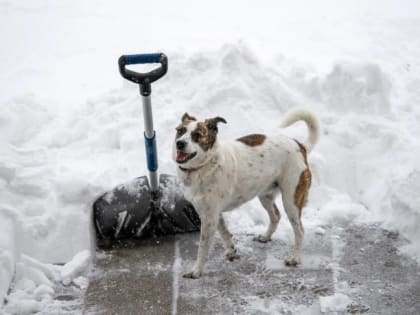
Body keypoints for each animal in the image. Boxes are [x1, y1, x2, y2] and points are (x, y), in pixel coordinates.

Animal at [172, 108, 320, 278]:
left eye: (196, 135)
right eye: (180, 131)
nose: (179, 143)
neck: (206, 164)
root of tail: (300, 145)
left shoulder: (209, 217)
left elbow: (203, 247)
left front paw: (196, 270)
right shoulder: (211, 213)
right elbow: (224, 232)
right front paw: (231, 251)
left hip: (291, 200)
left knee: (300, 231)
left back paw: (294, 258)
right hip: (265, 195)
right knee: (275, 216)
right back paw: (266, 237)